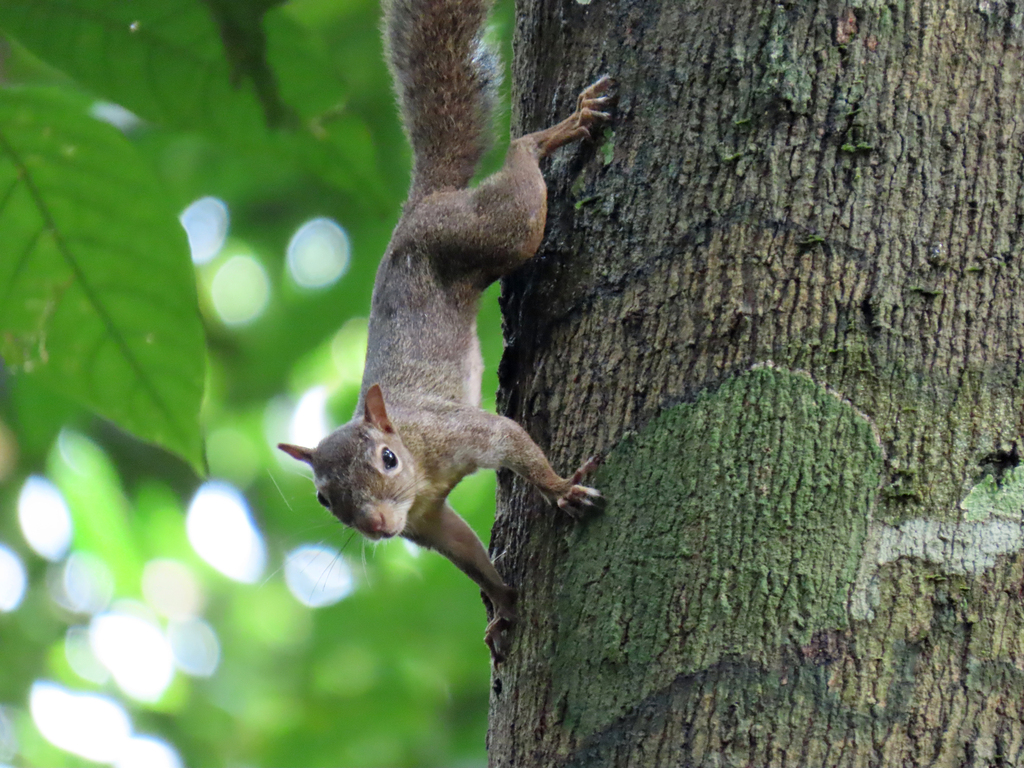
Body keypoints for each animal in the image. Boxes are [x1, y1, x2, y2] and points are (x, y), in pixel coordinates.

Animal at [278, 0, 606, 663]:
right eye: (324, 498)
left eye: (386, 459)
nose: (378, 527)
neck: (419, 470)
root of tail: (420, 204)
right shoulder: (428, 524)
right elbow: (469, 554)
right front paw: (502, 607)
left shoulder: (459, 431)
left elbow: (512, 440)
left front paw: (560, 488)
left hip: (492, 232)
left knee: (520, 169)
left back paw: (557, 131)